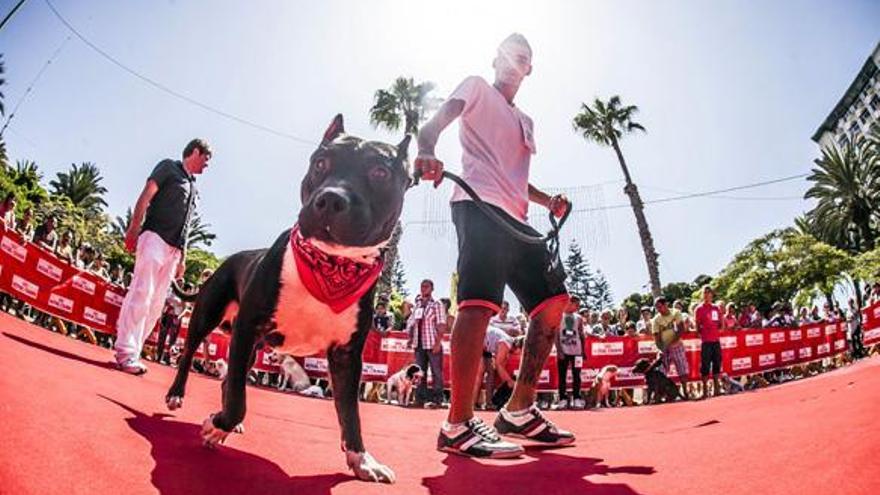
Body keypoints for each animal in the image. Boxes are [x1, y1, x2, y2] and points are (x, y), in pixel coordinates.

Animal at [165, 114, 410, 482]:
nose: (331, 199)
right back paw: (178, 395)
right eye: (321, 163)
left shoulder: (346, 357)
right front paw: (217, 423)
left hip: (249, 347)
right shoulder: (248, 326)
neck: (331, 265)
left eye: (379, 172)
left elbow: (350, 412)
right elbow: (238, 400)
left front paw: (363, 459)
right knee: (189, 355)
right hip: (207, 317)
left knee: (232, 377)